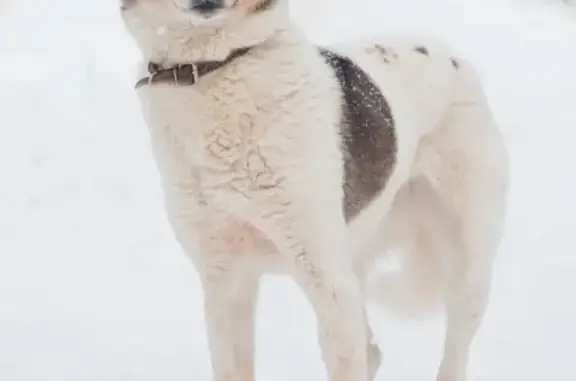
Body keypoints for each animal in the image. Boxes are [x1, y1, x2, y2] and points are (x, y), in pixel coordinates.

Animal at [120, 0, 508, 380]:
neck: (214, 64)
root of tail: (454, 57)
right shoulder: (224, 278)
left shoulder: (326, 277)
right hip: (354, 258)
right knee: (372, 352)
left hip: (466, 262)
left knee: (452, 351)